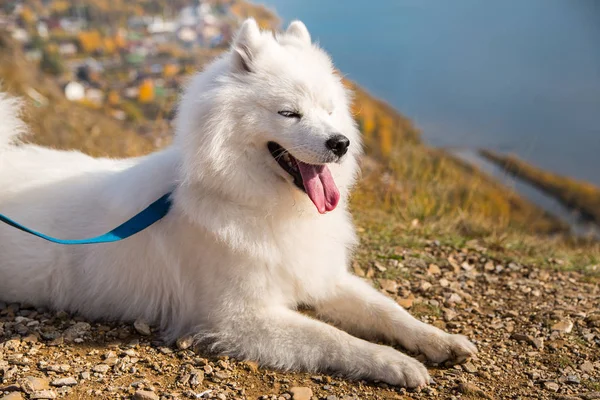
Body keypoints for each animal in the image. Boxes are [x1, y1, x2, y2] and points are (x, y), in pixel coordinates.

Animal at [1, 19, 478, 388]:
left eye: (328, 110)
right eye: (289, 113)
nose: (340, 143)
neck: (259, 206)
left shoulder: (319, 275)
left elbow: (387, 310)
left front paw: (439, 340)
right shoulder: (240, 318)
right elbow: (334, 338)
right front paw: (396, 363)